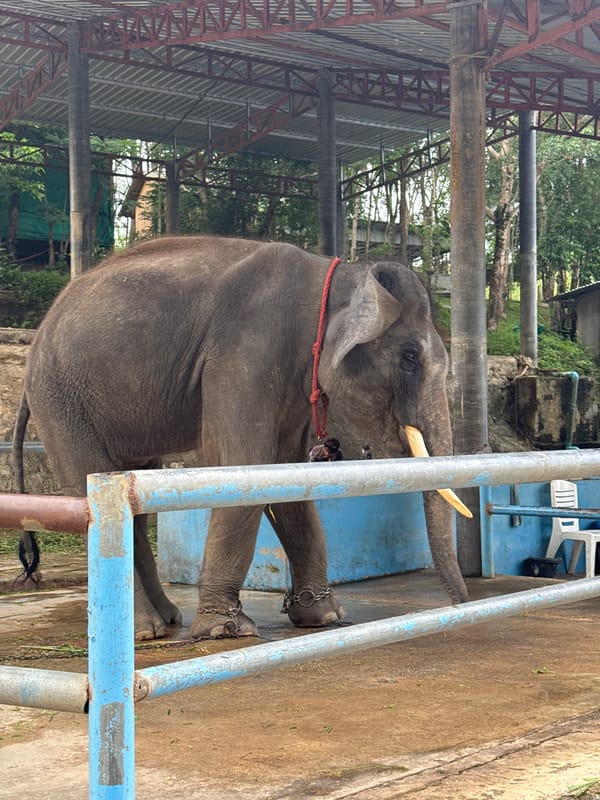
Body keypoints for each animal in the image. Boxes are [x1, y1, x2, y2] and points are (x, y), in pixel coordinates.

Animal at [13, 234, 469, 641]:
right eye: (409, 358)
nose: (461, 605)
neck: (335, 273)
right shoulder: (246, 350)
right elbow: (243, 462)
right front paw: (226, 630)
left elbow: (286, 473)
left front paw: (324, 617)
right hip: (62, 399)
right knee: (90, 483)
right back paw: (144, 631)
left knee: (133, 503)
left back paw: (167, 621)